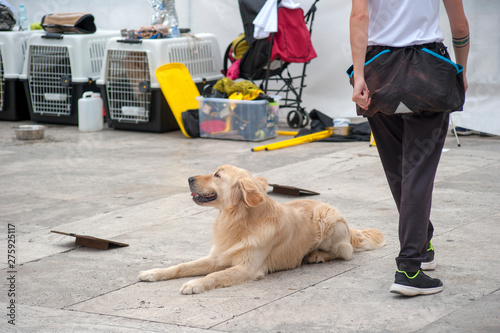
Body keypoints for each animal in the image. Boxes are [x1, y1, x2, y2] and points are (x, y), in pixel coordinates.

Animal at [138, 164, 386, 294]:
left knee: (345, 252)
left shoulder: (248, 268)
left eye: (217, 175)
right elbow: (182, 266)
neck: (238, 220)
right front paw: (154, 273)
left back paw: (316, 255)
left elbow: (215, 275)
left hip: (328, 219)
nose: (189, 178)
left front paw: (194, 284)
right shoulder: (217, 257)